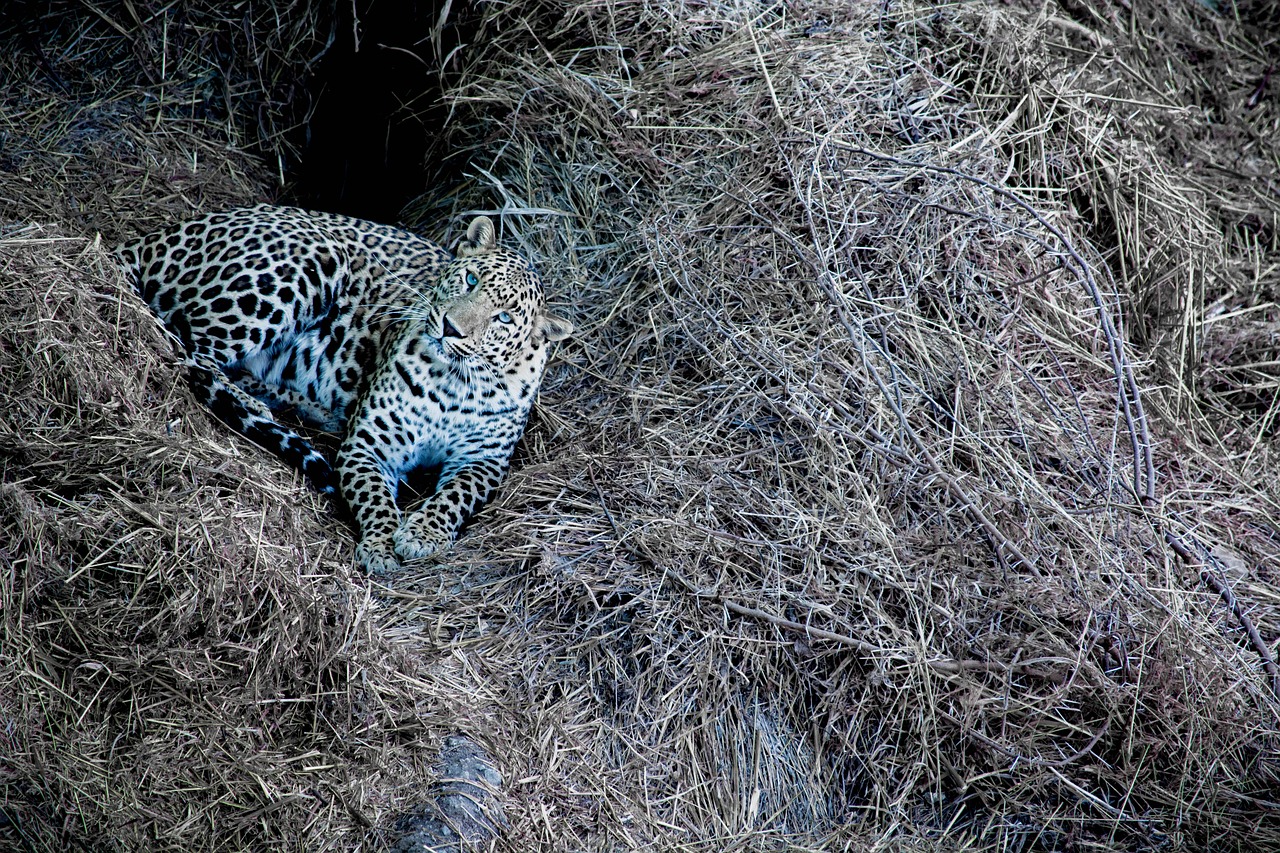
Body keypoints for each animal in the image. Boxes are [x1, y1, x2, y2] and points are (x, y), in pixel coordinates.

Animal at [117, 202, 573, 571]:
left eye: (504, 318)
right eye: (471, 279)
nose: (450, 327)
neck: (452, 381)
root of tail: (157, 235)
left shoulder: (482, 461)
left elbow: (455, 496)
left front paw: (421, 534)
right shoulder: (370, 445)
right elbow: (374, 496)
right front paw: (381, 546)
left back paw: (306, 408)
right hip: (313, 258)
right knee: (193, 354)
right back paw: (257, 409)